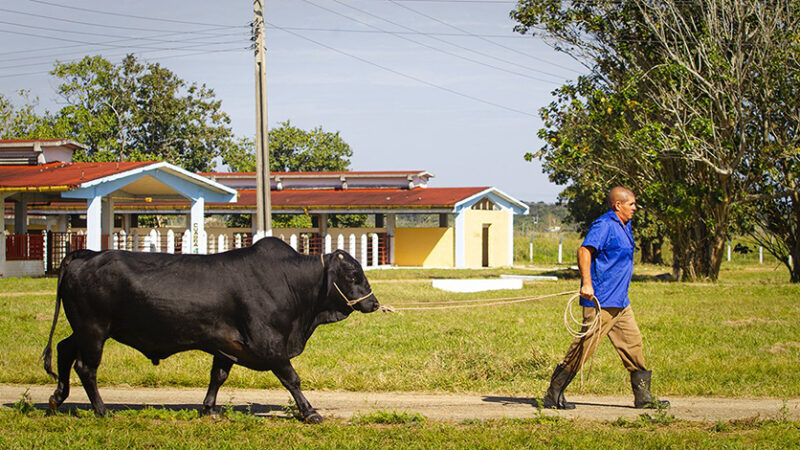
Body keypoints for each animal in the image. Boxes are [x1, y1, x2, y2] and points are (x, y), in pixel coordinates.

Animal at [42, 237, 380, 424]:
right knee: (86, 368)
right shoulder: (270, 345)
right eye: (354, 274)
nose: (374, 303)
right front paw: (309, 412)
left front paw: (208, 409)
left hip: (84, 330)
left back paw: (57, 399)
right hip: (94, 331)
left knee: (63, 349)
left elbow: (217, 376)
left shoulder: (226, 345)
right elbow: (292, 379)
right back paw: (101, 411)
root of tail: (86, 254)